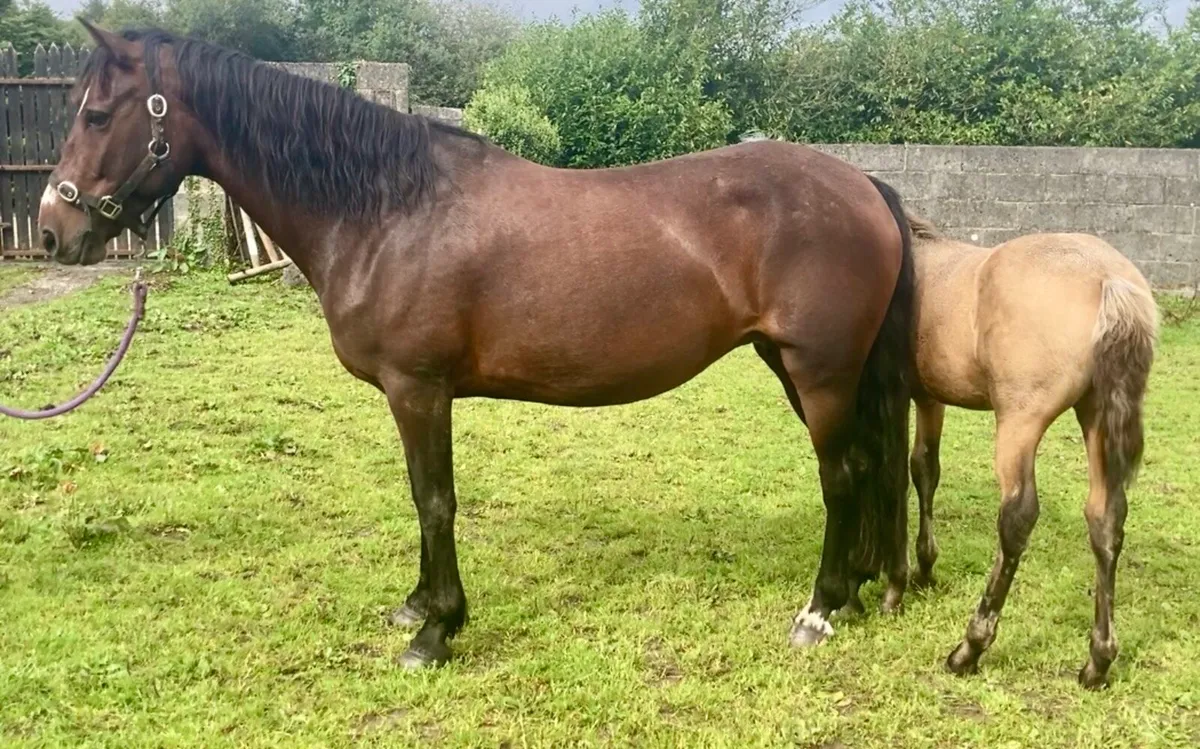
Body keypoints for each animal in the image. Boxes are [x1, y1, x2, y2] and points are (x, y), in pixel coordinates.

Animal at [38, 22, 917, 669]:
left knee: (842, 475)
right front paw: (418, 605)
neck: (388, 209)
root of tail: (864, 185)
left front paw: (437, 631)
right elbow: (421, 497)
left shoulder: (418, 387)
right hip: (802, 367)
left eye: (96, 114)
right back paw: (860, 587)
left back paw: (819, 608)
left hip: (819, 370)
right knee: (867, 466)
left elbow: (435, 500)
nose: (53, 229)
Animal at [896, 215, 1157, 689]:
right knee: (1105, 517)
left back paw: (969, 649)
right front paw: (925, 568)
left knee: (1017, 517)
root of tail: (1108, 278)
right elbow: (925, 469)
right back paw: (1098, 662)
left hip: (1019, 421)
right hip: (1096, 415)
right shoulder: (929, 397)